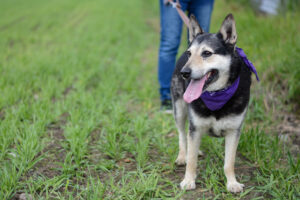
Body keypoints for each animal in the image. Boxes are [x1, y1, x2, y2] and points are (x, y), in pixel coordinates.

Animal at [171, 13, 253, 192]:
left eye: (207, 53)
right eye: (190, 54)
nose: (184, 73)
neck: (217, 94)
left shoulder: (234, 131)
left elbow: (229, 162)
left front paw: (232, 183)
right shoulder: (195, 127)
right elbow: (192, 161)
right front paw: (188, 180)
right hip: (179, 110)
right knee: (182, 134)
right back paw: (182, 155)